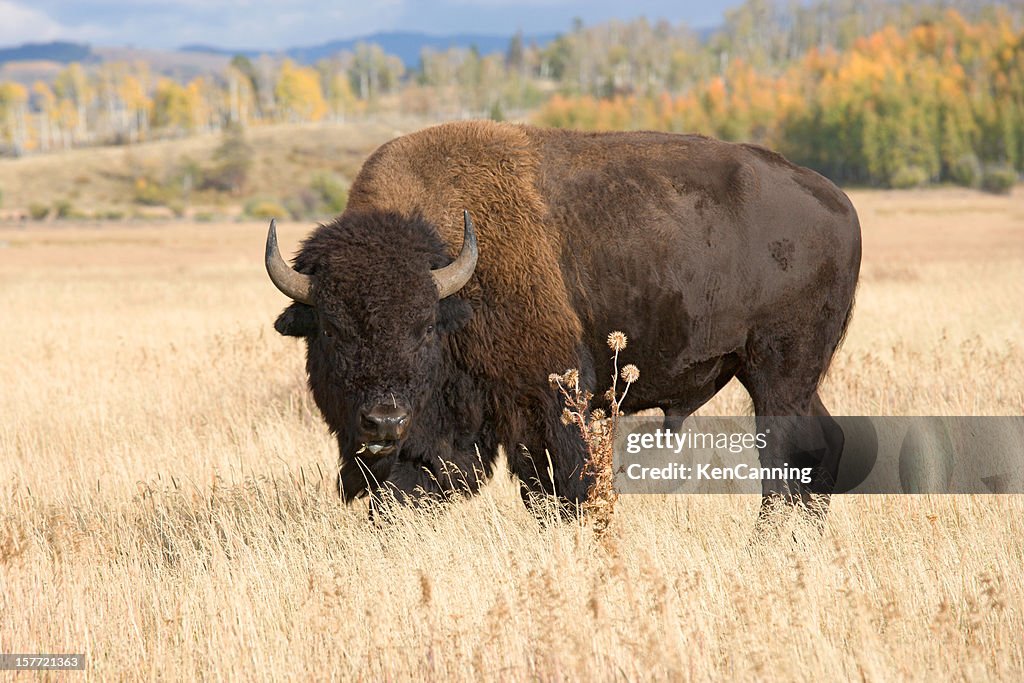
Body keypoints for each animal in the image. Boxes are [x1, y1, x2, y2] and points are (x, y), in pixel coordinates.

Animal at [268, 121, 860, 518]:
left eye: (423, 326)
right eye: (332, 328)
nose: (385, 421)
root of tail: (837, 202)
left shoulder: (550, 405)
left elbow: (562, 489)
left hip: (778, 373)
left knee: (786, 459)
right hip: (780, 376)